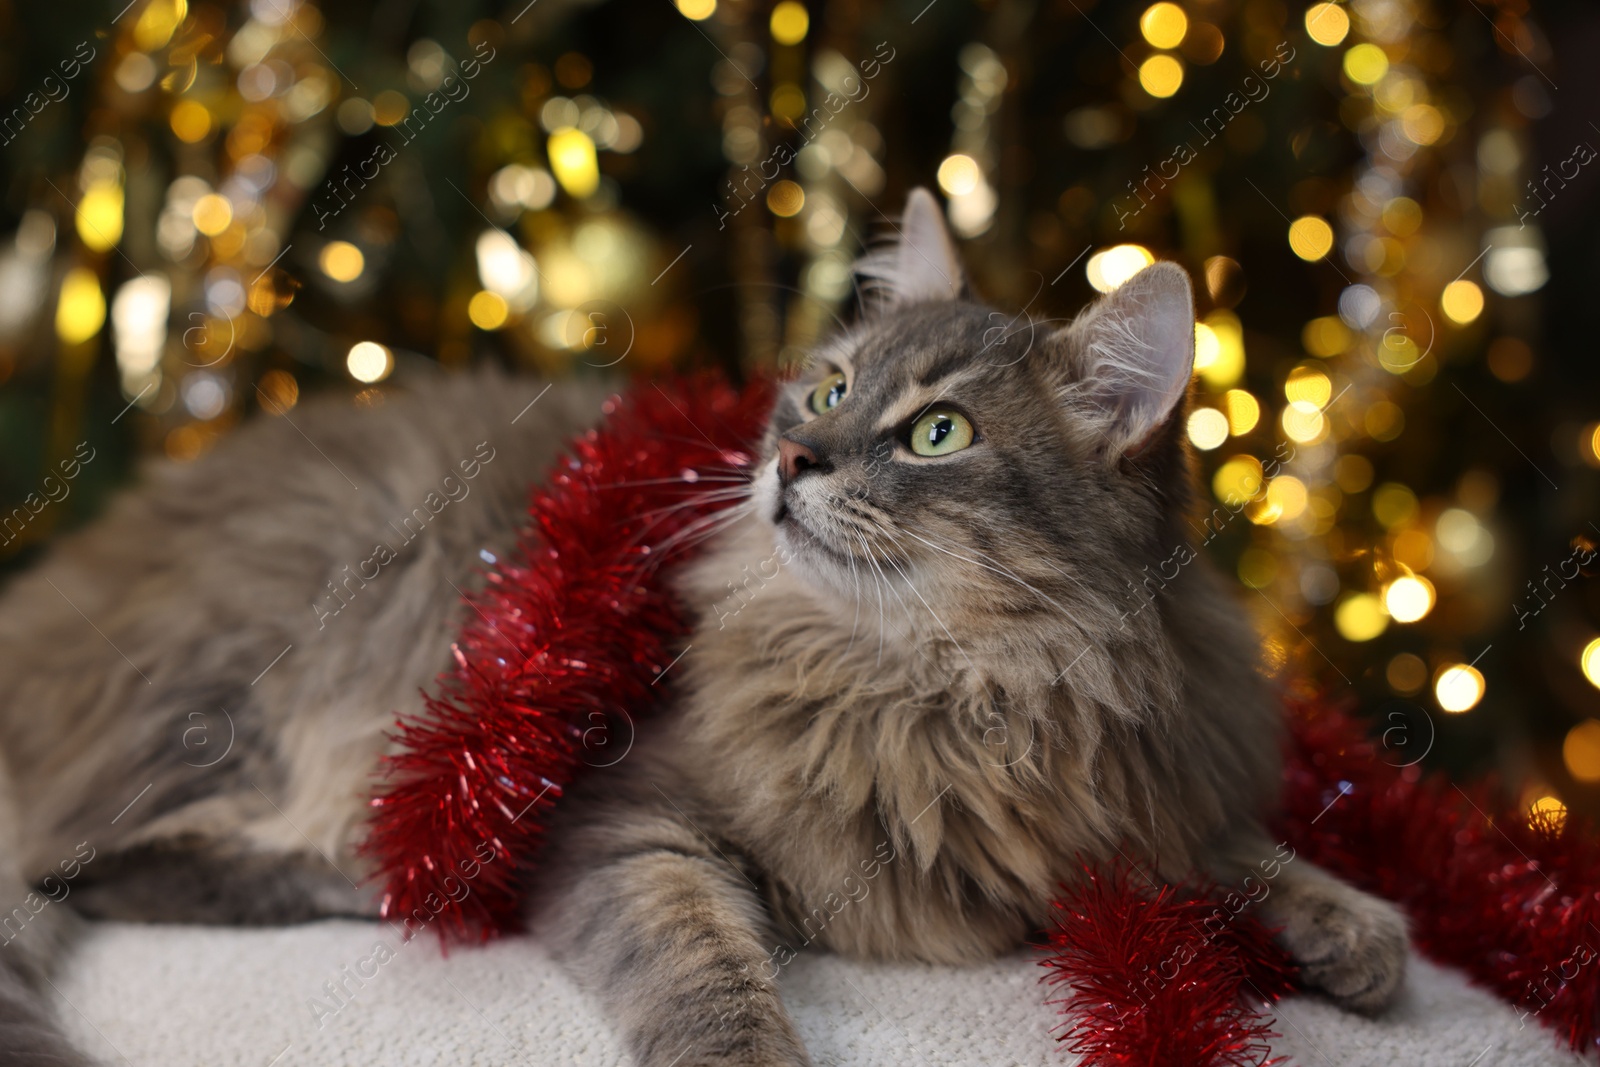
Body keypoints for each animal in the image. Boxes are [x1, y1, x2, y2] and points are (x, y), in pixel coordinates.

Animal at [0, 187, 1401, 1062]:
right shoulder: (626, 822)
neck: (949, 692)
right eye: (829, 389)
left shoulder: (1133, 784)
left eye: (937, 432)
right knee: (111, 863)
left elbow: (1239, 850)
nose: (791, 457)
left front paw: (1354, 928)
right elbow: (700, 965)